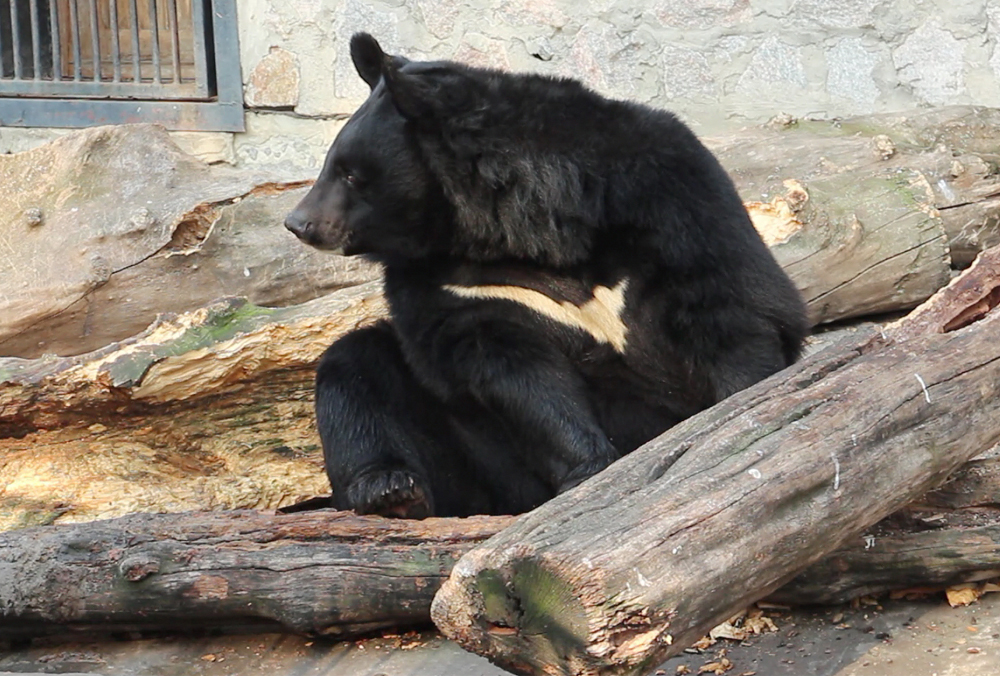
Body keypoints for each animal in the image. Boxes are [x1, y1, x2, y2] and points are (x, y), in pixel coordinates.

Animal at [284, 33, 812, 516]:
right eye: (331, 166)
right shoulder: (459, 286)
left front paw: (744, 408)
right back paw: (391, 490)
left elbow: (727, 303)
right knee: (356, 369)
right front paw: (590, 467)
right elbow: (515, 373)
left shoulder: (668, 197)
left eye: (351, 174)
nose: (298, 223)